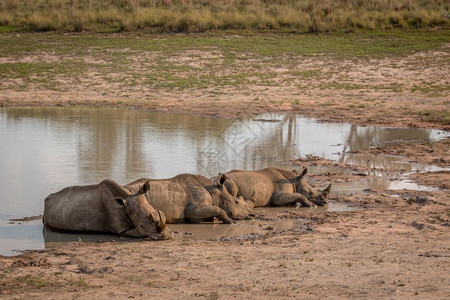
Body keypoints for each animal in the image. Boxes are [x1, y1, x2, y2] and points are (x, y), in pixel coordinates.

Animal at [125, 172, 255, 224]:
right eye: (237, 202)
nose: (253, 215)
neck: (215, 192)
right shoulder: (193, 211)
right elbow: (219, 209)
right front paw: (232, 222)